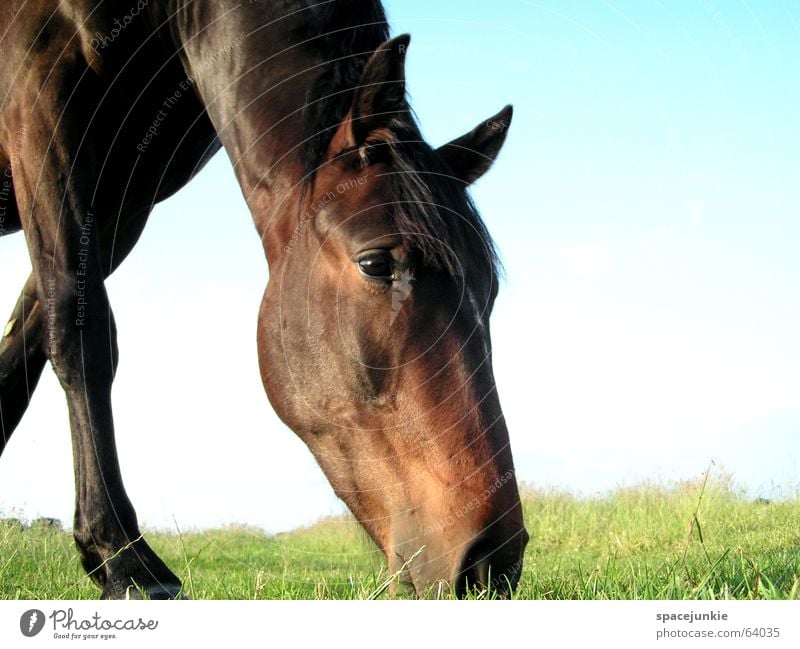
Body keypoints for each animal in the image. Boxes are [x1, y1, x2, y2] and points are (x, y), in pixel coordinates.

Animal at [0, 1, 528, 596]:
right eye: (377, 264)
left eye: (490, 288)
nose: (492, 560)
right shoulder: (41, 119)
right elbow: (78, 334)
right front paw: (124, 561)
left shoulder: (126, 196)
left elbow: (24, 344)